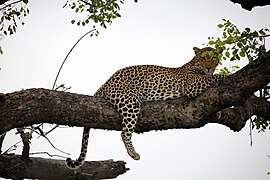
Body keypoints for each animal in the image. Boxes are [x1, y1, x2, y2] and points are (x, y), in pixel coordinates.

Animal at [65, 46, 224, 169]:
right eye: (203, 59)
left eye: (214, 58)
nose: (209, 67)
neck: (193, 65)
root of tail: (105, 83)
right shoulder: (191, 86)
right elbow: (212, 77)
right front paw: (224, 75)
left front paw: (218, 113)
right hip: (130, 103)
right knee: (124, 133)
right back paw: (133, 153)